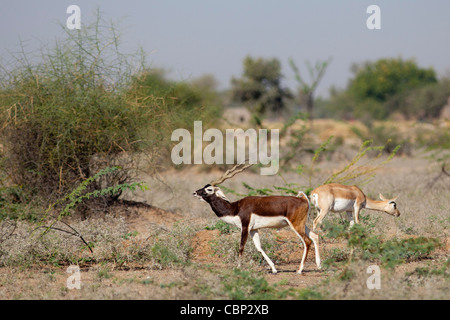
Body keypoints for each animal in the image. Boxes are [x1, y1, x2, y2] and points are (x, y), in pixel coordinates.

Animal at [192, 164, 320, 274]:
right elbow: (259, 247)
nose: (195, 192)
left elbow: (241, 246)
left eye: (209, 189)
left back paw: (300, 270)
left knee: (307, 241)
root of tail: (303, 199)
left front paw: (238, 267)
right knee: (315, 236)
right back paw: (319, 265)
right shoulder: (253, 229)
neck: (235, 208)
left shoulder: (245, 227)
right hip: (301, 224)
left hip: (295, 225)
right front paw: (274, 269)